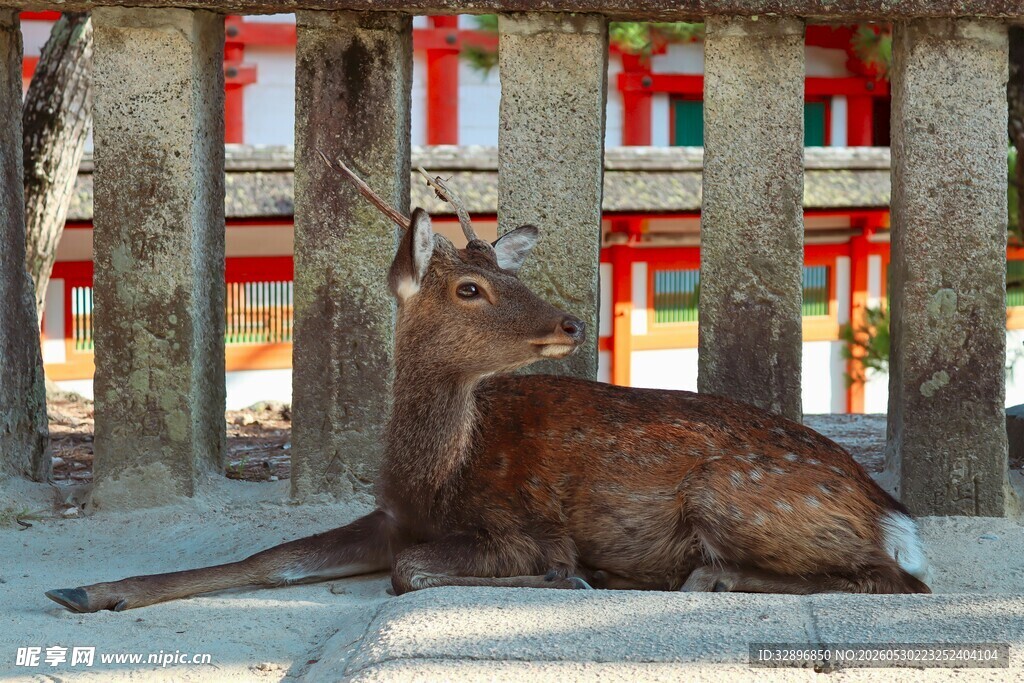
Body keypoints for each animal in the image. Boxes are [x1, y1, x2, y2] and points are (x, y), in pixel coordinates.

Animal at [44, 157, 931, 614]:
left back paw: (709, 575)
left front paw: (571, 574)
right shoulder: (389, 516)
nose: (571, 320)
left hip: (734, 493)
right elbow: (270, 559)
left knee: (896, 579)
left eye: (508, 273)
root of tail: (893, 512)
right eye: (470, 287)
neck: (435, 476)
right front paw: (86, 589)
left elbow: (412, 572)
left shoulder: (522, 523)